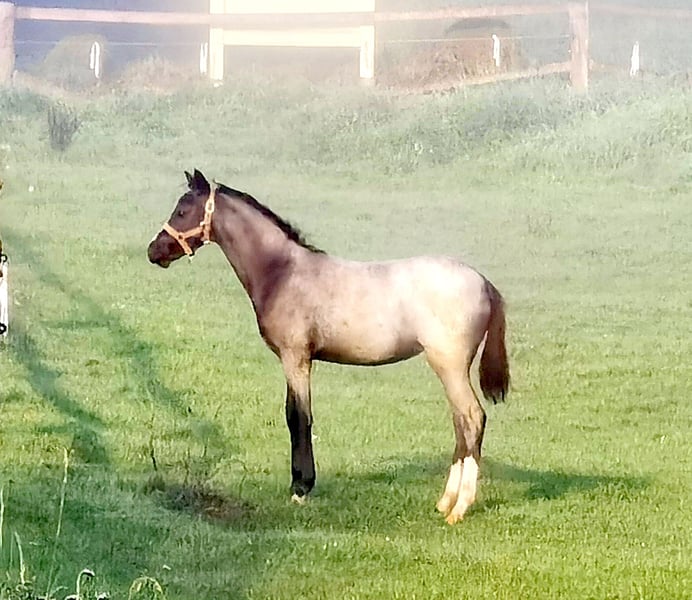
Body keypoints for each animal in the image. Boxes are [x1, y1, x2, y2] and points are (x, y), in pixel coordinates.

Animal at [148, 169, 509, 524]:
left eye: (182, 211)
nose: (154, 251)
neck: (283, 272)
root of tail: (484, 282)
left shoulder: (296, 357)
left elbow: (297, 416)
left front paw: (301, 487)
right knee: (461, 424)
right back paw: (445, 501)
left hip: (448, 365)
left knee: (472, 418)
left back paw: (459, 508)